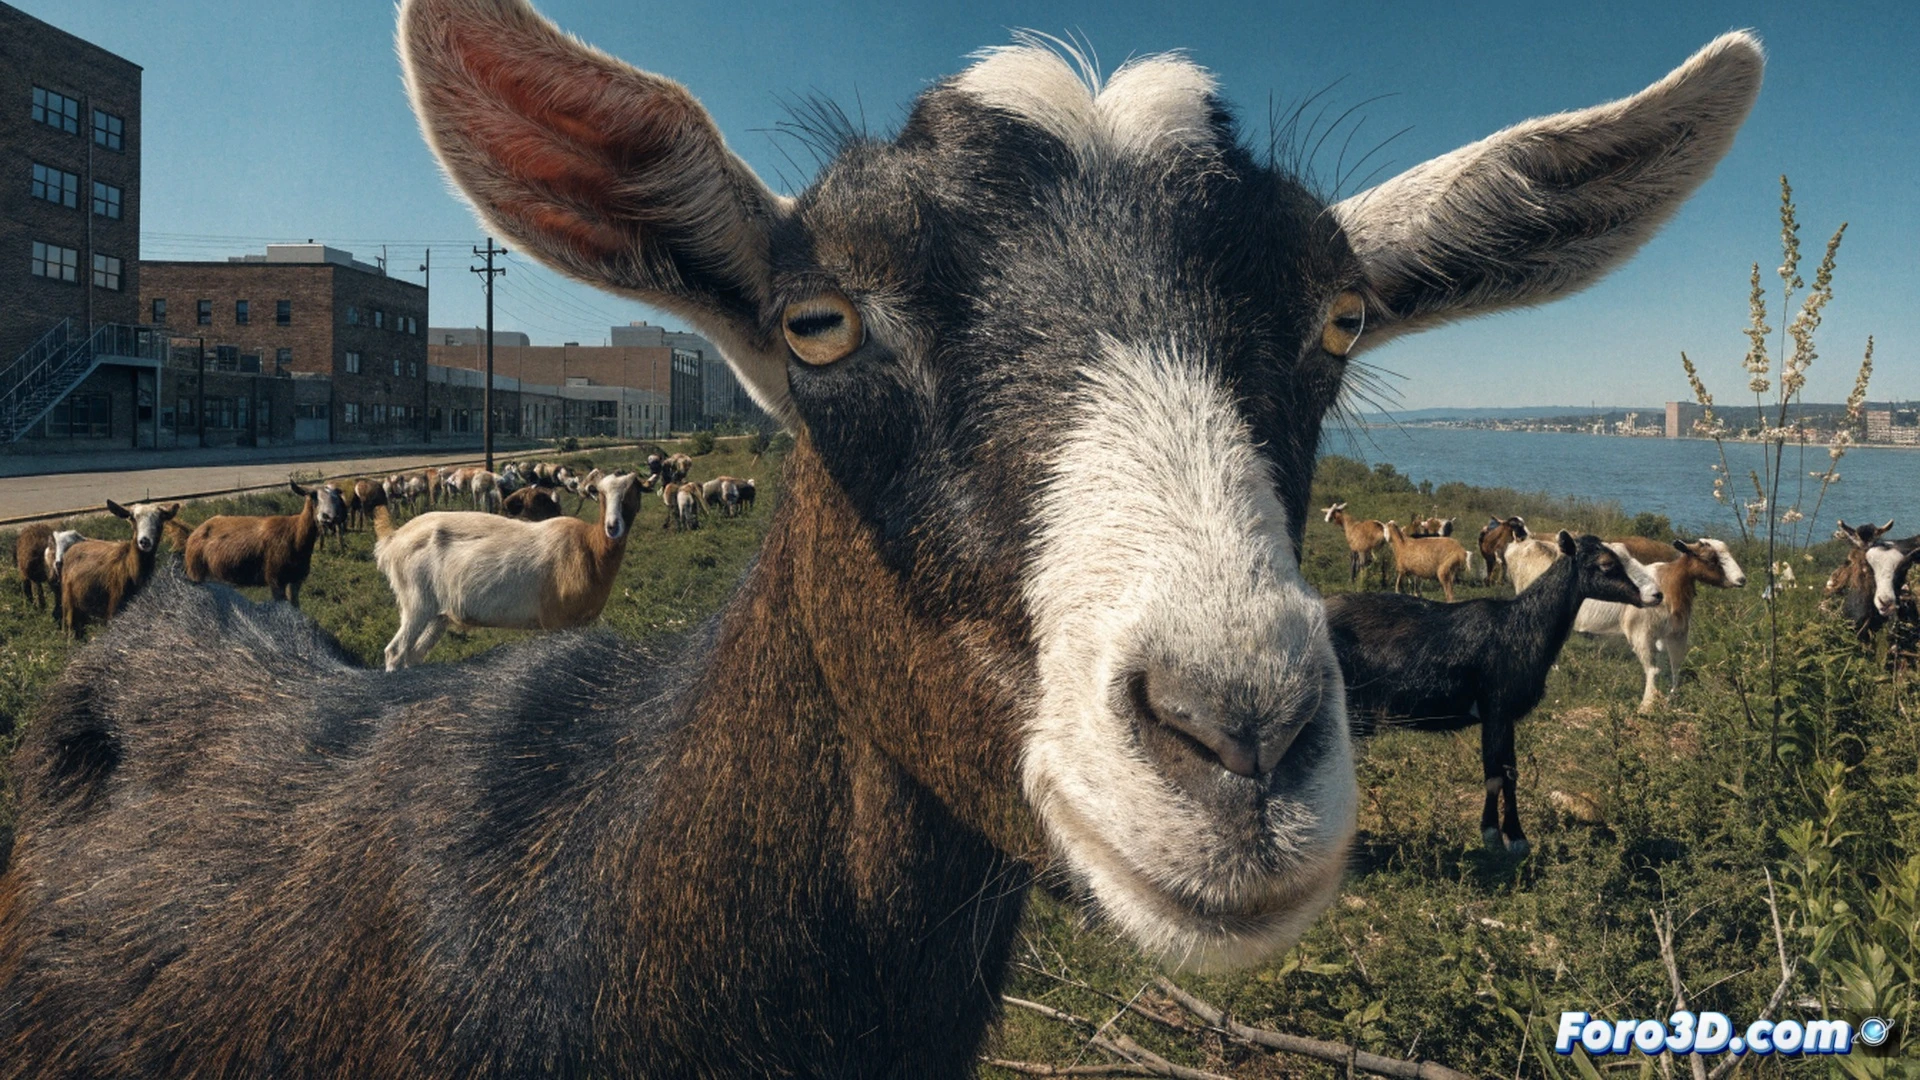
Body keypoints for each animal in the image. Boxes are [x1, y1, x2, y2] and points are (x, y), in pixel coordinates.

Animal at [53, 499, 179, 638]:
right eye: (132, 518)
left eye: (161, 518)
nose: (144, 541)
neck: (131, 569)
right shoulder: (114, 608)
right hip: (68, 603)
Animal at [375, 470, 649, 668]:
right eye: (600, 494)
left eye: (634, 491)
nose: (612, 526)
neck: (590, 547)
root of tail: (392, 541)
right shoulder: (556, 621)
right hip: (415, 603)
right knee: (395, 652)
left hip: (437, 615)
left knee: (413, 654)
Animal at [1327, 532, 1657, 853]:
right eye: (1606, 565)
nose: (1655, 595)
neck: (1519, 626)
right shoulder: (1495, 707)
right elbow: (1495, 775)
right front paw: (1496, 835)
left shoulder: (1504, 714)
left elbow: (1510, 772)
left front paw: (1513, 837)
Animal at [1510, 535, 1747, 711]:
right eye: (1710, 559)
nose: (1742, 580)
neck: (1670, 582)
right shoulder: (1642, 632)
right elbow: (1654, 670)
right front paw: (1647, 707)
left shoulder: (1676, 634)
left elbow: (1675, 666)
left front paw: (1672, 701)